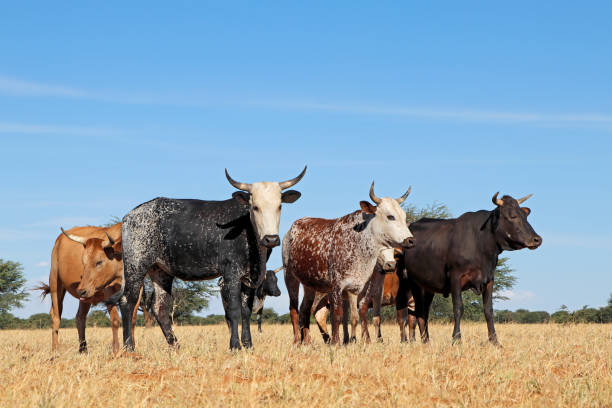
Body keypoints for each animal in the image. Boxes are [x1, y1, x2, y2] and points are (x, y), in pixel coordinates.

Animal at [37, 223, 140, 354]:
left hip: (85, 297)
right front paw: (116, 350)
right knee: (56, 316)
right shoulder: (108, 291)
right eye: (83, 262)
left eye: (99, 262)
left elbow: (132, 319)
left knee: (80, 317)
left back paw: (83, 350)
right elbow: (115, 320)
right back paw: (55, 350)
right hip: (56, 283)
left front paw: (131, 348)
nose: (80, 290)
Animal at [118, 167, 304, 350]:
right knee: (128, 301)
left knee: (160, 308)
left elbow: (246, 311)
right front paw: (235, 346)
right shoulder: (230, 274)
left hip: (160, 271)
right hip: (136, 264)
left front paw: (248, 345)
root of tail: (130, 215)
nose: (271, 239)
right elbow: (234, 310)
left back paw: (176, 347)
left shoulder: (249, 277)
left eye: (279, 206)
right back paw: (128, 347)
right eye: (255, 207)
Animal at [282, 183, 416, 346]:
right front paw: (336, 343)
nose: (410, 240)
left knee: (305, 310)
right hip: (290, 277)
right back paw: (297, 341)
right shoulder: (336, 286)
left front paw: (357, 341)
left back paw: (307, 342)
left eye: (403, 216)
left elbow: (356, 317)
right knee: (294, 310)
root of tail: (293, 227)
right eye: (390, 216)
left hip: (310, 285)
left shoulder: (355, 288)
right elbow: (338, 316)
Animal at [394, 193, 544, 346]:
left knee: (424, 312)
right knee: (418, 311)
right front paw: (456, 339)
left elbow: (488, 310)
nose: (537, 239)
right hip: (412, 282)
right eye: (512, 216)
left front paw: (495, 341)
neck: (482, 245)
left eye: (525, 216)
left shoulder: (489, 279)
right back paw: (424, 341)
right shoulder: (455, 277)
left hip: (428, 287)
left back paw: (427, 341)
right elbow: (458, 308)